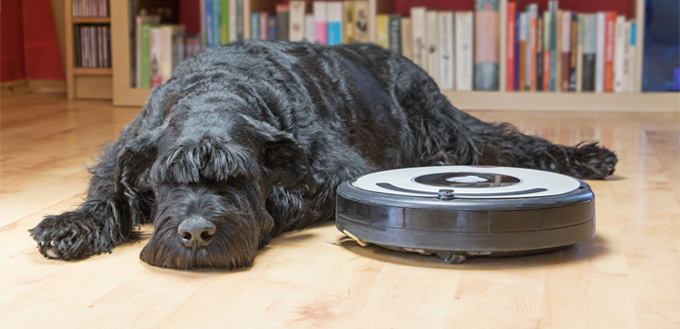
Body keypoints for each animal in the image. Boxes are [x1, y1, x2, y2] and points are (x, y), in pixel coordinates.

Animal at [30, 41, 616, 268]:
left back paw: (586, 157)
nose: (195, 234)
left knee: (503, 141)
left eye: (238, 176)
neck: (218, 91)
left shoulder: (335, 170)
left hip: (443, 129)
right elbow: (108, 189)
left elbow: (291, 197)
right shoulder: (127, 149)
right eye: (168, 178)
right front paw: (73, 225)